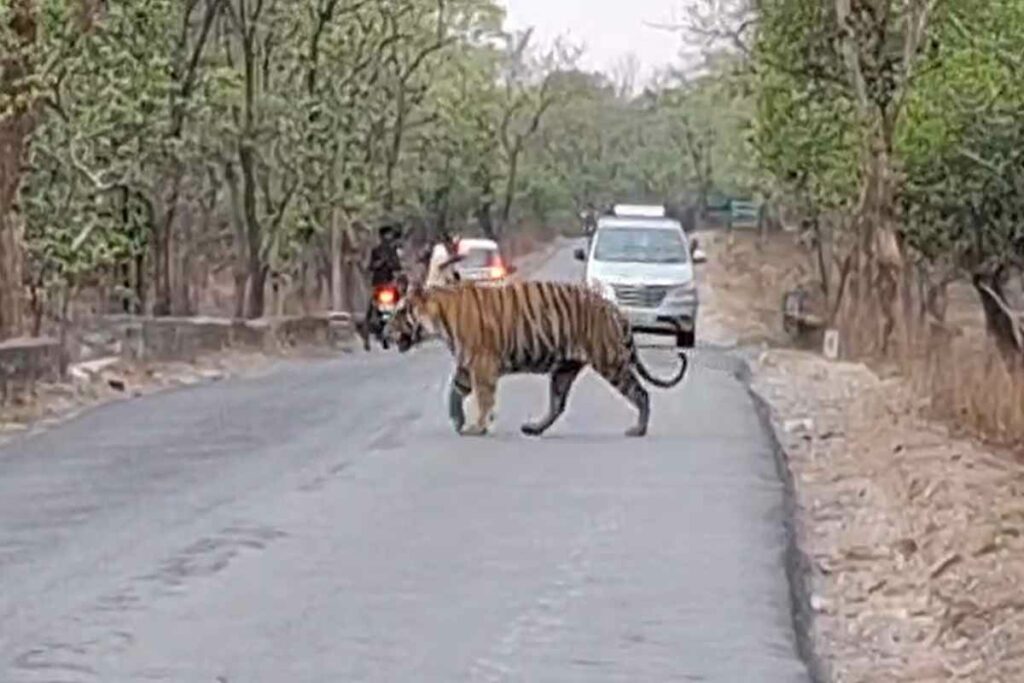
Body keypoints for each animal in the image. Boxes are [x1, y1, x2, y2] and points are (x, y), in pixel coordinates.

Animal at [385, 280, 689, 438]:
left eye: (400, 313)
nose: (384, 332)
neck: (440, 318)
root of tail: (616, 309)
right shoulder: (466, 363)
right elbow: (454, 391)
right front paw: (458, 420)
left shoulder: (482, 363)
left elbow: (483, 398)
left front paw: (477, 426)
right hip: (564, 370)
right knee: (558, 404)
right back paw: (533, 428)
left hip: (610, 361)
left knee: (641, 392)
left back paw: (638, 429)